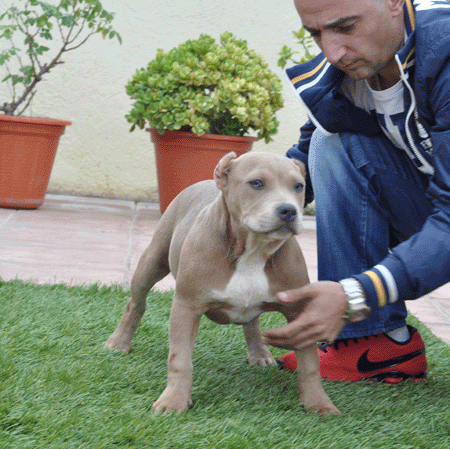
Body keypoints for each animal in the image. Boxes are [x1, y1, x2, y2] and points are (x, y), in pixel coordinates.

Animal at [104, 150, 338, 412]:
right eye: (257, 183)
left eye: (298, 186)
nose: (288, 210)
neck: (252, 250)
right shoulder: (186, 306)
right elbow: (180, 359)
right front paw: (173, 401)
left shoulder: (299, 313)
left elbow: (310, 364)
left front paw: (319, 403)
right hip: (152, 261)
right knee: (135, 304)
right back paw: (119, 342)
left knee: (252, 323)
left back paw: (259, 353)